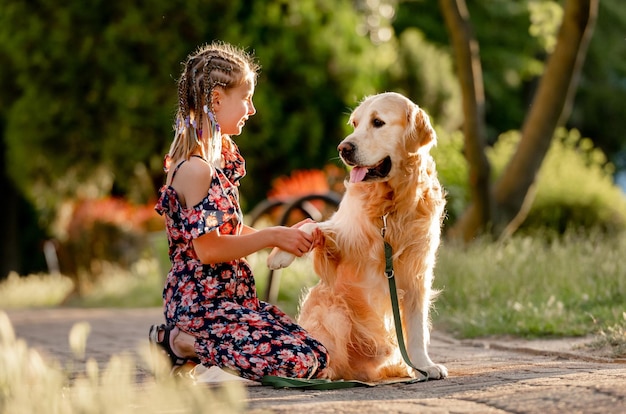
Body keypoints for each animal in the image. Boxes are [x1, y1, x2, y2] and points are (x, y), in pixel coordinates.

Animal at [266, 91, 446, 382]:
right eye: (354, 123)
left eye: (378, 122)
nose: (343, 149)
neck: (388, 206)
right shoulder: (344, 239)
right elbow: (312, 226)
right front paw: (280, 254)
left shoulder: (417, 271)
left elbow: (417, 329)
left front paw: (423, 365)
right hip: (333, 308)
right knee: (332, 352)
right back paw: (325, 373)